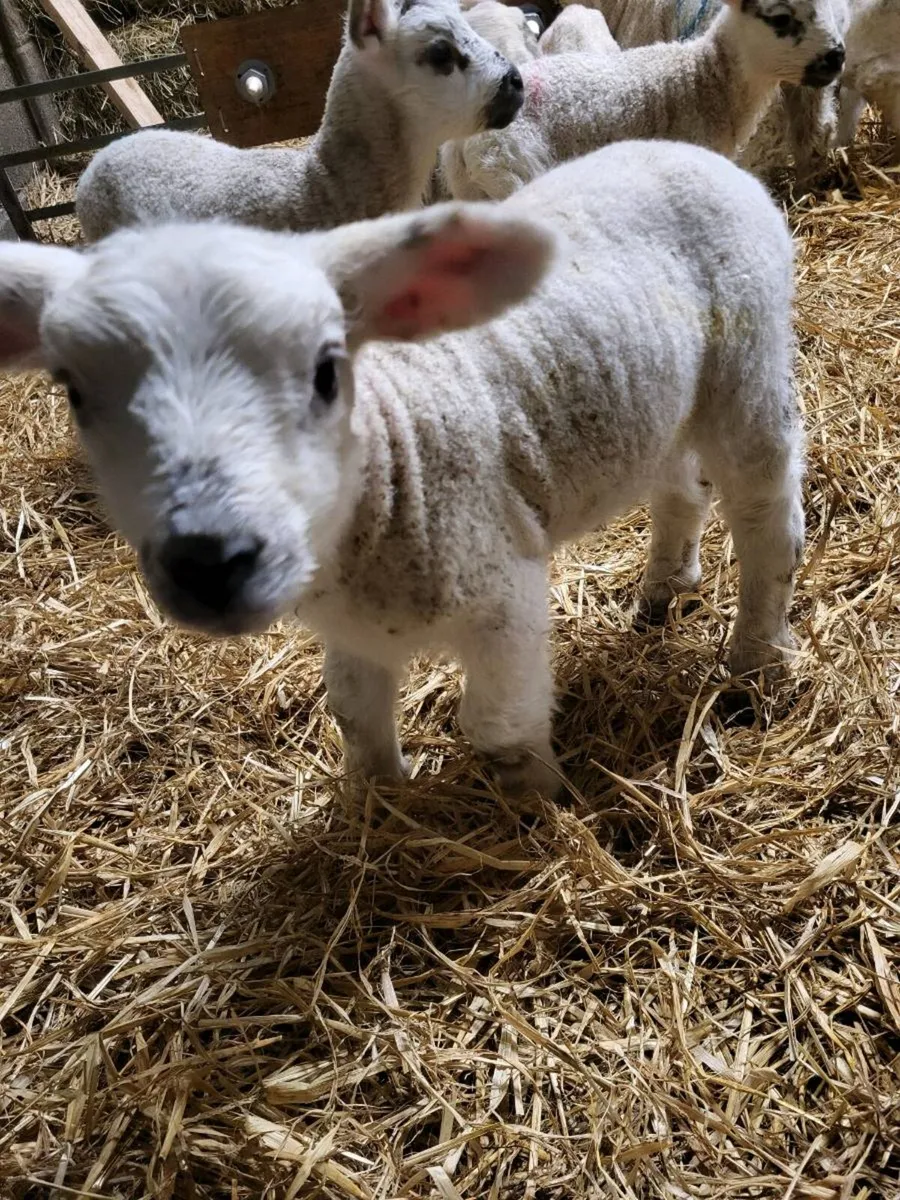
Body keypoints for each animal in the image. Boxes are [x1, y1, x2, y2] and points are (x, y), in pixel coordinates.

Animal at [0, 140, 805, 798]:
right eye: (74, 393)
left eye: (328, 370)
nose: (209, 559)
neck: (390, 459)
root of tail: (692, 151)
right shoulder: (351, 629)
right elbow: (353, 714)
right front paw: (378, 808)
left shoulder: (501, 589)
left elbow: (499, 725)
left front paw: (542, 810)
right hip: (660, 398)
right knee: (679, 485)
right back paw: (665, 586)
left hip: (748, 363)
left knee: (767, 518)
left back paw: (753, 659)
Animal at [440, 0, 846, 201]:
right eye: (780, 17)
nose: (837, 57)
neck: (703, 79)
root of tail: (460, 144)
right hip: (516, 172)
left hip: (474, 191)